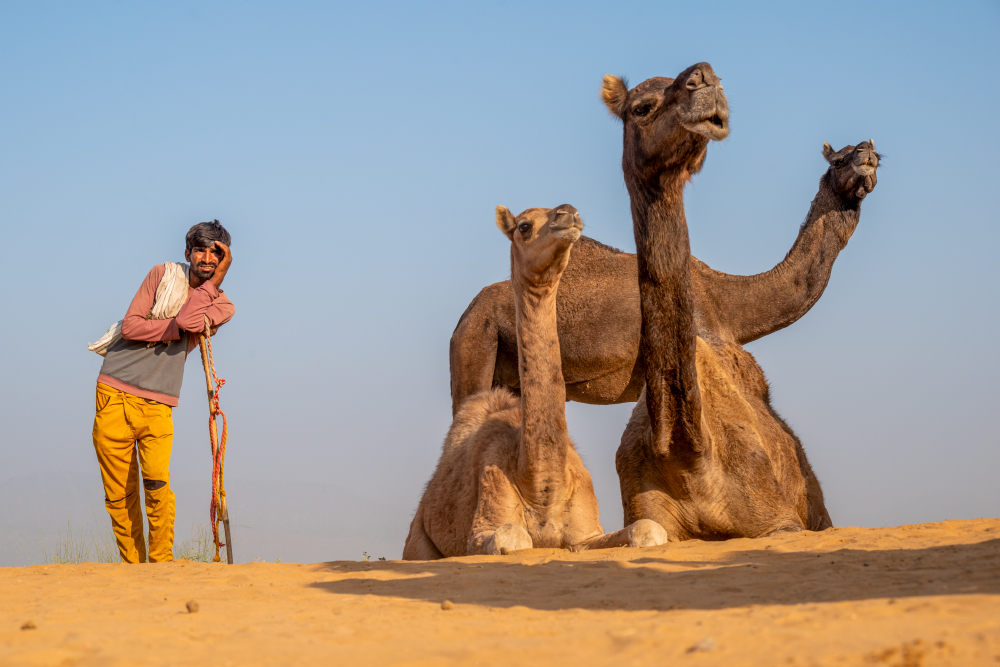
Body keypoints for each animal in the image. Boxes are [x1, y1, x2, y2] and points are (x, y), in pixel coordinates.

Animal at [403, 205, 666, 559]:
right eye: (524, 226)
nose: (568, 214)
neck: (541, 485)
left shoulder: (587, 533)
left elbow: (650, 530)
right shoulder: (482, 527)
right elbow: (513, 537)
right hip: (417, 539)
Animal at [449, 110, 880, 419]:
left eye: (875, 156)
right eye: (838, 160)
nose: (866, 155)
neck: (724, 301)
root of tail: (463, 318)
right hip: (476, 344)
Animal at [609, 63, 878, 540]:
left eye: (873, 156)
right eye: (641, 107)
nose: (703, 78)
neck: (687, 452)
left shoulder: (780, 519)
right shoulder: (642, 504)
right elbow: (644, 531)